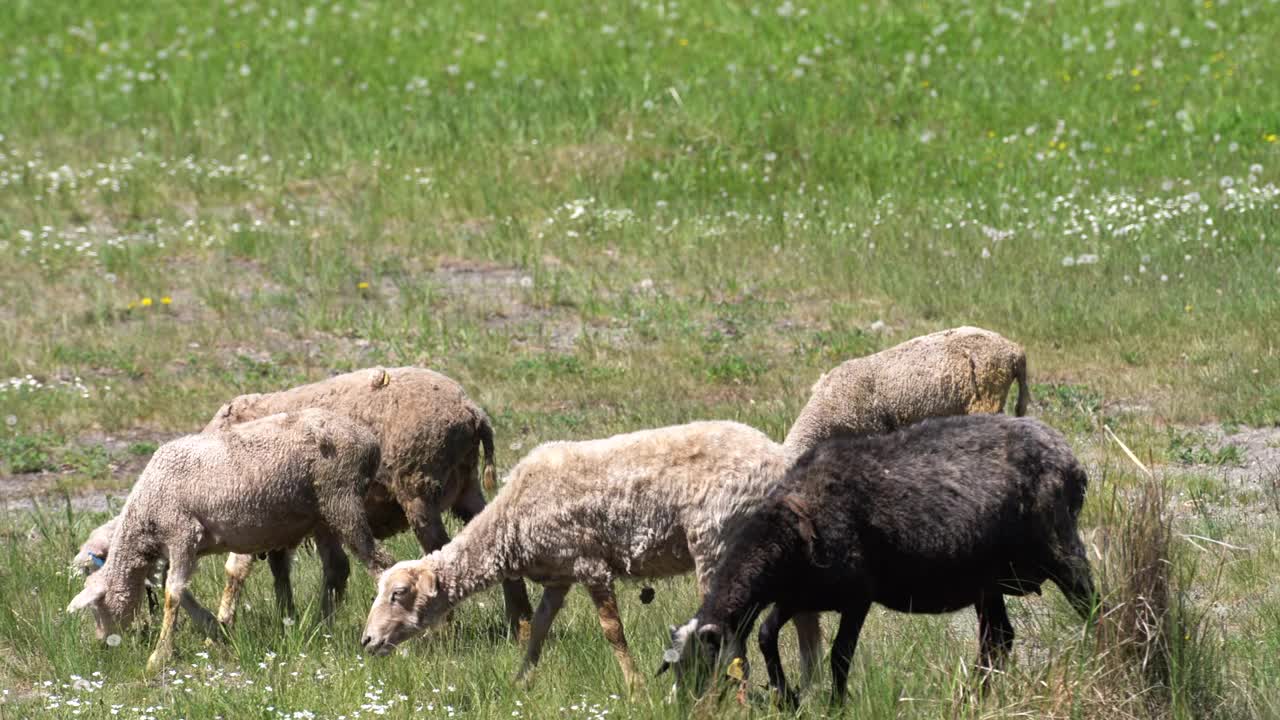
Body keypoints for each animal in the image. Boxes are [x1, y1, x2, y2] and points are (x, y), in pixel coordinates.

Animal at [64, 409, 391, 671]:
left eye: (97, 608)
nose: (102, 644)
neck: (145, 513)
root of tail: (369, 440)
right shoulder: (177, 548)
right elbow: (182, 591)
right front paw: (215, 630)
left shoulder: (183, 533)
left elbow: (173, 593)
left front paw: (159, 656)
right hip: (322, 516)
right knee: (337, 568)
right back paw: (322, 629)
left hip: (342, 500)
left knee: (380, 563)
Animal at [360, 420, 798, 691]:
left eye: (398, 594)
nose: (367, 641)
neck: (510, 522)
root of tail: (778, 458)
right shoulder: (560, 574)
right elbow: (538, 628)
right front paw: (520, 682)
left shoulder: (590, 565)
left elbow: (612, 631)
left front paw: (635, 687)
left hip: (717, 538)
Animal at [665, 412, 1095, 702]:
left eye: (701, 668)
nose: (686, 708)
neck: (791, 522)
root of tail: (1069, 456)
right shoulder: (799, 595)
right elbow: (767, 635)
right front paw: (788, 698)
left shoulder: (857, 596)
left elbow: (839, 656)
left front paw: (836, 704)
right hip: (988, 580)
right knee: (998, 639)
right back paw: (972, 696)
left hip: (1061, 547)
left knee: (1092, 607)